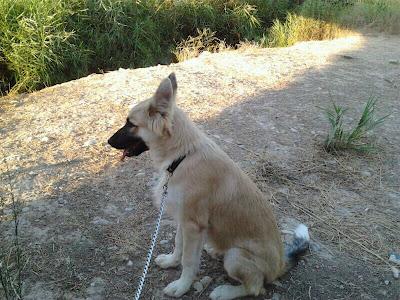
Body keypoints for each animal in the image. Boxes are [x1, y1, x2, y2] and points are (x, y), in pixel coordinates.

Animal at [107, 73, 310, 300]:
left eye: (130, 123)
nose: (108, 141)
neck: (182, 156)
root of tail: (281, 263)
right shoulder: (184, 219)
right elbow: (178, 244)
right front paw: (171, 261)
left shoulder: (193, 225)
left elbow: (188, 261)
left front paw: (182, 286)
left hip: (236, 256)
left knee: (256, 287)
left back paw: (225, 291)